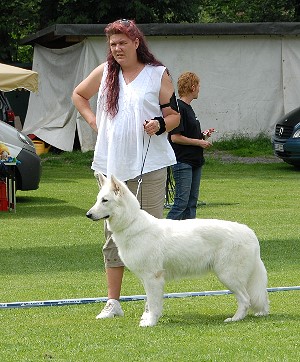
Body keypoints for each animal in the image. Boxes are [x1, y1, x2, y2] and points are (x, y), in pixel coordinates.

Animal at [86, 173, 270, 328]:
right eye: (98, 200)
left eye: (105, 200)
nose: (88, 215)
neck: (131, 222)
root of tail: (249, 232)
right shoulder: (148, 279)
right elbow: (152, 302)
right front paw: (150, 318)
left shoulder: (153, 278)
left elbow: (153, 303)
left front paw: (150, 322)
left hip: (228, 276)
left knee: (245, 299)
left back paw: (235, 319)